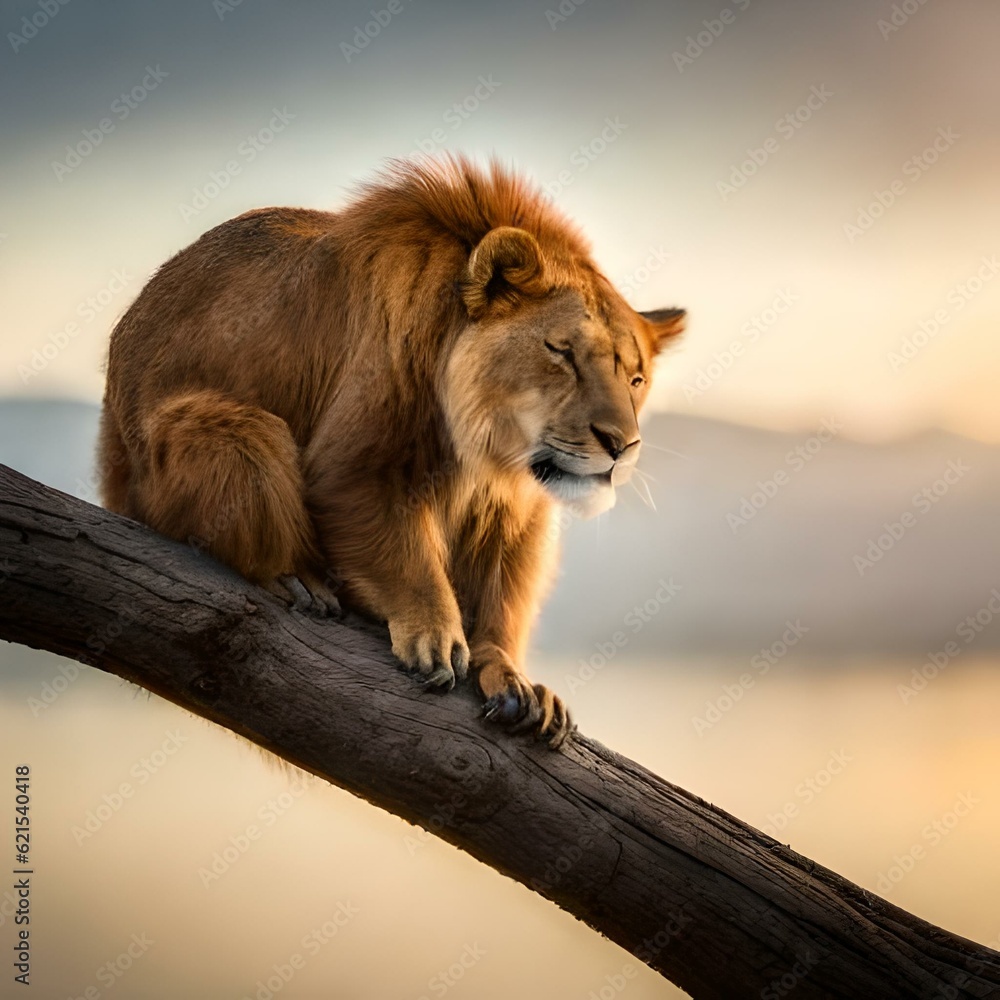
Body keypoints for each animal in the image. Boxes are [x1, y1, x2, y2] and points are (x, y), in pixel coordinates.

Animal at [98, 155, 685, 748]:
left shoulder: (514, 514)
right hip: (231, 434)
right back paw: (295, 580)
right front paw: (434, 636)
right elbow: (406, 559)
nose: (622, 445)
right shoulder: (357, 464)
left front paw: (512, 677)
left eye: (636, 379)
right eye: (562, 352)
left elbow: (499, 599)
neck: (488, 452)